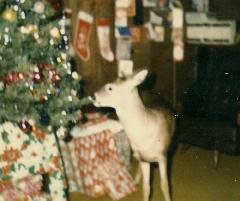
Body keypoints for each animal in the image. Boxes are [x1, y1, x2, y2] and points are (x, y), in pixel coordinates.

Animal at [93, 69, 175, 201]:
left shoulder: (163, 156)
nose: (93, 96)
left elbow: (165, 185)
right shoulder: (143, 159)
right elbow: (146, 187)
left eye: (110, 87)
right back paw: (136, 180)